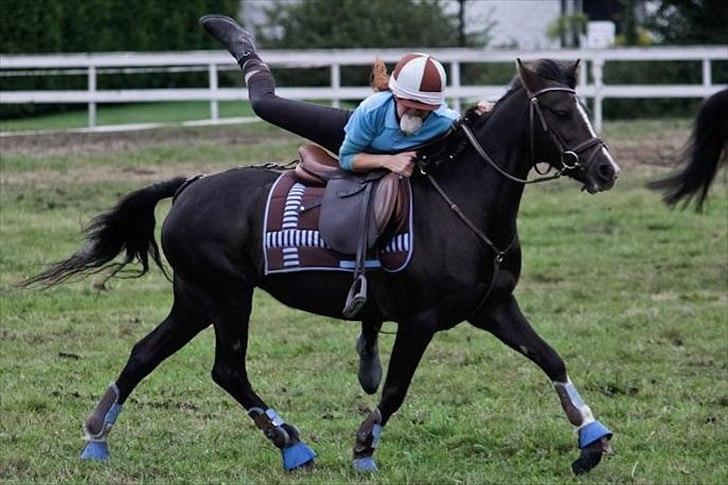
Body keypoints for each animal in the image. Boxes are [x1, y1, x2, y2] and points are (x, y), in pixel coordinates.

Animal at [24, 59, 621, 475]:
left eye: (583, 108)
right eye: (560, 113)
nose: (606, 169)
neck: (462, 203)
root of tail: (190, 184)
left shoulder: (493, 307)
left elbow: (551, 358)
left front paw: (591, 439)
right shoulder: (421, 321)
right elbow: (394, 390)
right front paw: (363, 448)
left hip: (195, 299)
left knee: (145, 353)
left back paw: (98, 437)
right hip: (227, 296)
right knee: (227, 369)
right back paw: (292, 445)